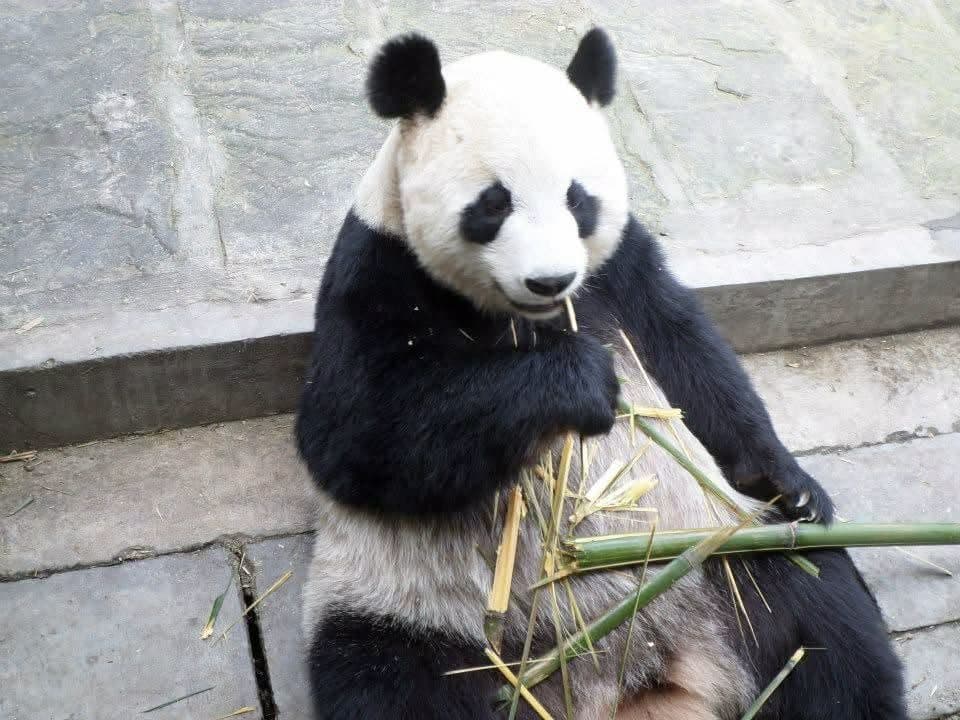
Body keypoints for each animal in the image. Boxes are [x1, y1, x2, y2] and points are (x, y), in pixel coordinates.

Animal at [296, 29, 906, 720]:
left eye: (577, 198)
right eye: (493, 204)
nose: (550, 280)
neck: (524, 317)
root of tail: (630, 675)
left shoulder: (620, 268)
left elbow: (690, 359)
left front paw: (791, 481)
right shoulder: (378, 268)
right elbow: (357, 431)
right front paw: (579, 382)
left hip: (722, 551)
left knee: (827, 623)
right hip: (413, 611)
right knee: (392, 682)